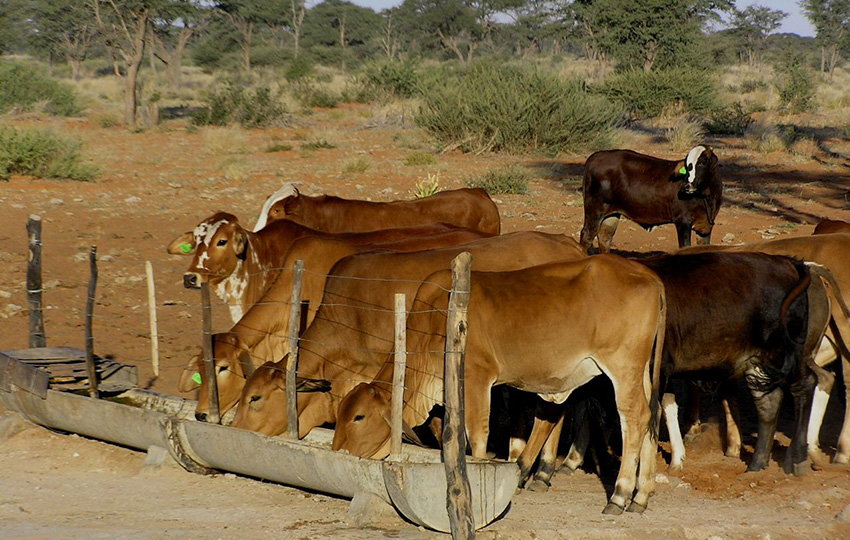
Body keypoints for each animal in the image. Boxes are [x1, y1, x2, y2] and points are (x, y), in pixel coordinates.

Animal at [328, 255, 664, 516]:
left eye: (359, 416)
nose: (337, 450)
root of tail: (648, 275)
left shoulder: (477, 376)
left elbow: (476, 433)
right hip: (642, 372)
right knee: (652, 416)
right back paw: (640, 498)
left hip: (622, 367)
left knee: (635, 418)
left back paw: (620, 495)